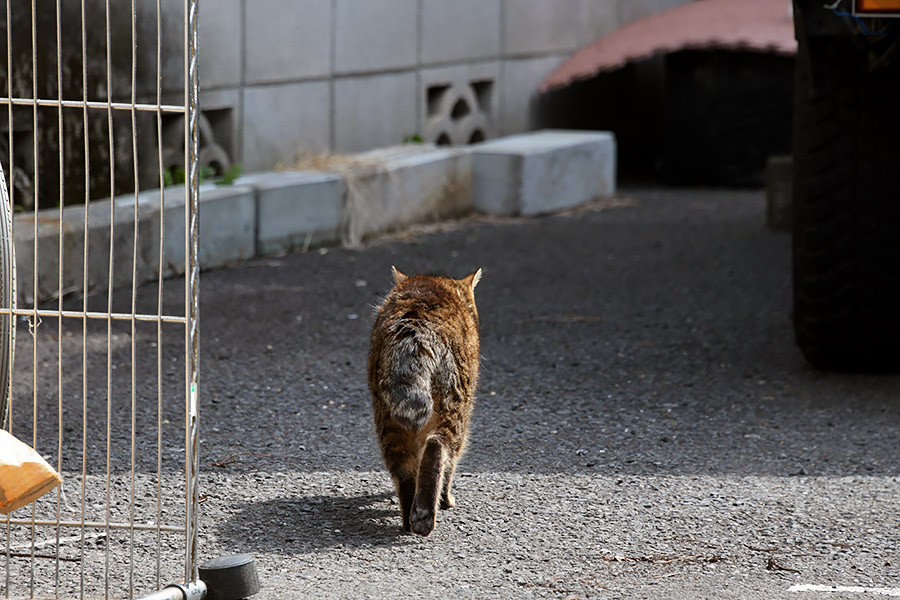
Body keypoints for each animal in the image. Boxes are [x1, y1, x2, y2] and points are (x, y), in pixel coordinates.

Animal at [368, 264, 482, 536]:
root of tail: (415, 331)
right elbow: (450, 465)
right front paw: (446, 499)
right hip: (453, 408)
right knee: (436, 449)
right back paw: (426, 514)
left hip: (388, 417)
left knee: (404, 471)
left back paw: (410, 519)